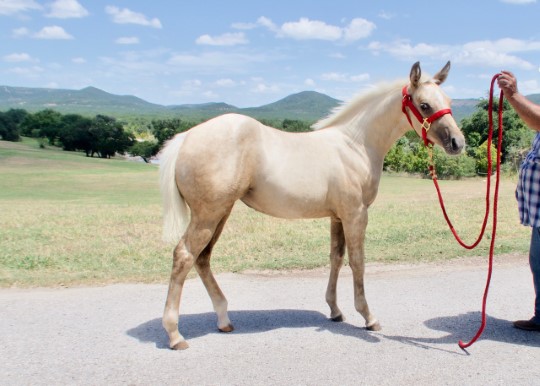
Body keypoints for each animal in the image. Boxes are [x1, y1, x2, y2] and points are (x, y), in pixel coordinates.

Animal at [159, 61, 464, 348]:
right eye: (424, 105)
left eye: (449, 101)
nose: (457, 143)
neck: (355, 145)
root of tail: (186, 138)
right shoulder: (355, 214)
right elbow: (358, 262)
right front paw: (368, 317)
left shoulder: (337, 216)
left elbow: (336, 258)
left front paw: (335, 310)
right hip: (208, 215)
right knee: (184, 256)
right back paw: (175, 334)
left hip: (221, 213)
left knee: (202, 258)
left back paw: (223, 319)